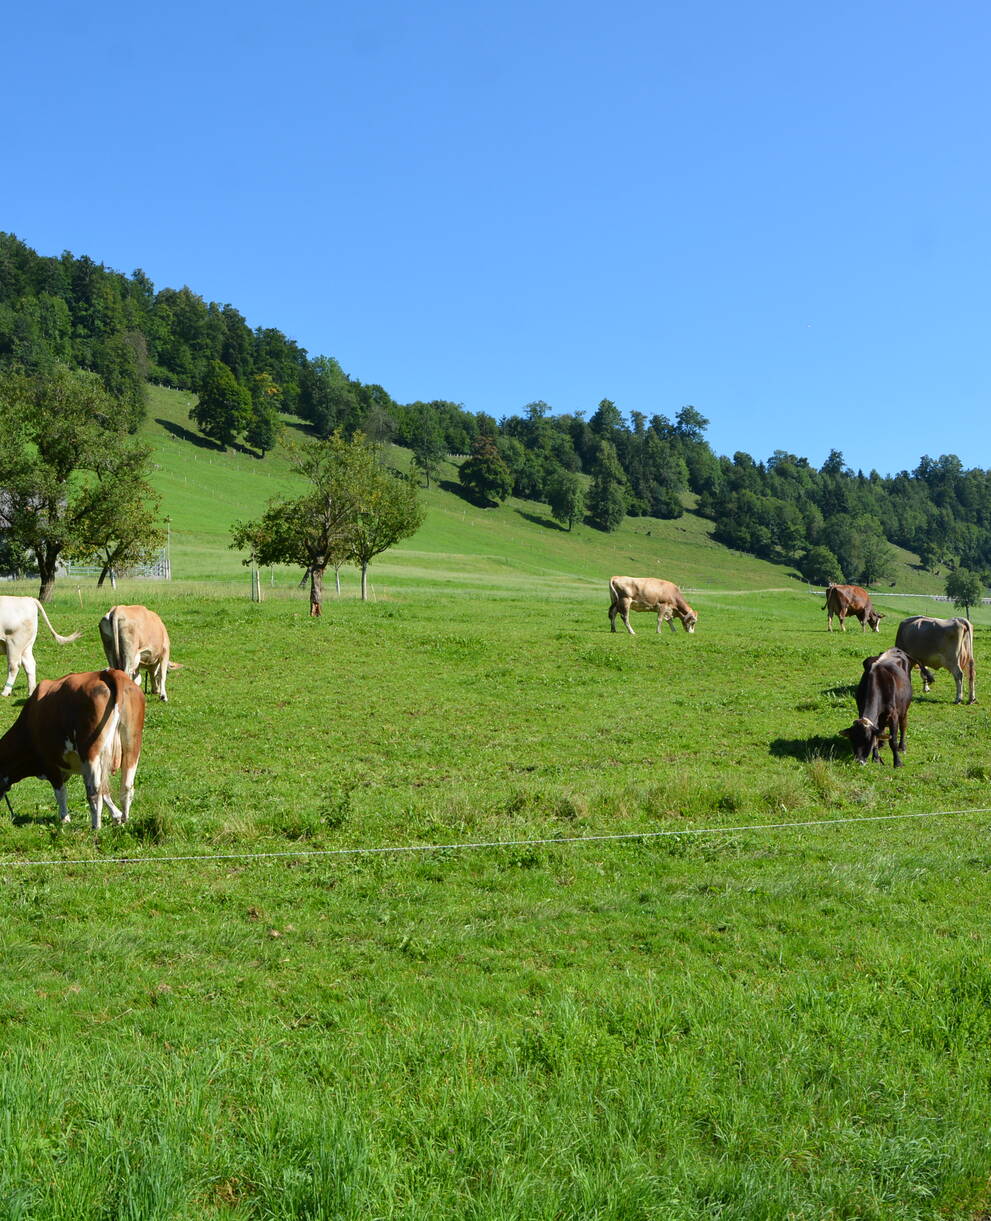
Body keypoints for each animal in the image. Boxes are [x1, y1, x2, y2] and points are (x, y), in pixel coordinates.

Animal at [0, 670, 145, 829]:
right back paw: (125, 820)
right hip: (132, 745)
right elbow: (105, 790)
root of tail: (107, 673)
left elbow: (61, 793)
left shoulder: (51, 765)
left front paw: (64, 818)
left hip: (90, 751)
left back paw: (96, 827)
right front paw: (116, 816)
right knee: (126, 786)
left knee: (94, 791)